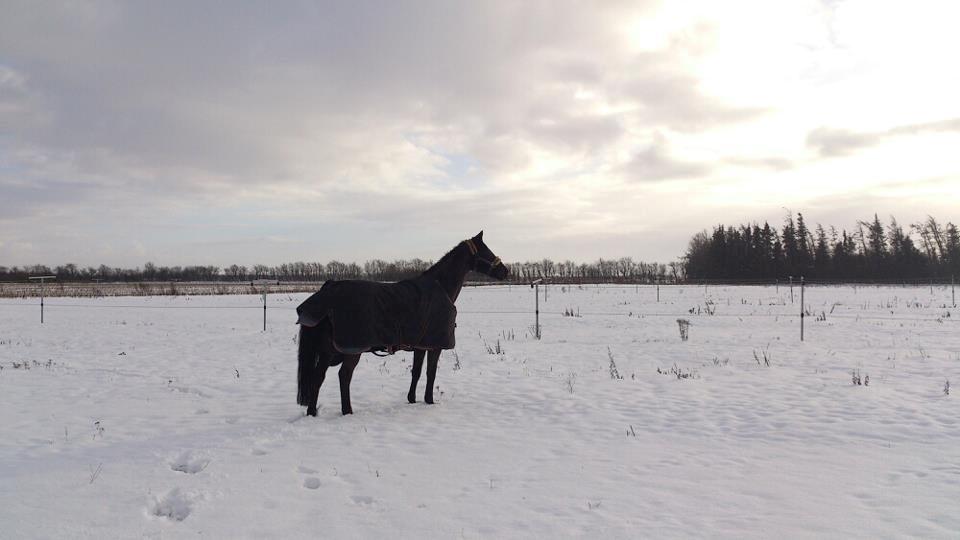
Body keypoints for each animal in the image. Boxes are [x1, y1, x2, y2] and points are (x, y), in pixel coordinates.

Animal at [296, 230, 510, 416]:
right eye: (486, 250)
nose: (505, 271)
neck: (441, 286)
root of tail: (327, 290)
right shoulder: (435, 346)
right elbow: (430, 373)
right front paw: (429, 400)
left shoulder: (421, 346)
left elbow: (416, 372)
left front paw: (412, 399)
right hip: (349, 350)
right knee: (342, 377)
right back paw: (346, 411)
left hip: (329, 352)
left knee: (320, 378)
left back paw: (313, 412)